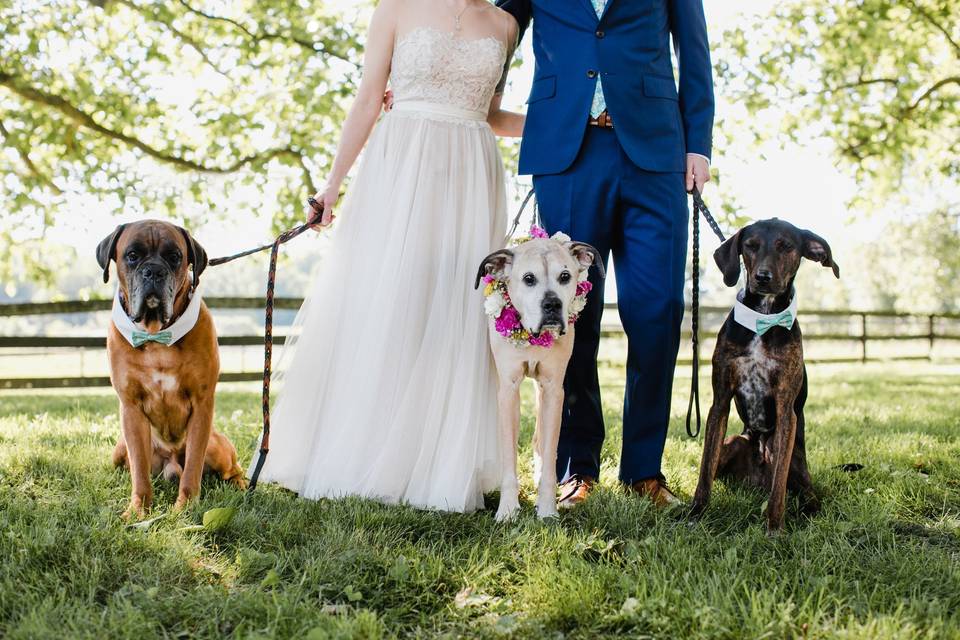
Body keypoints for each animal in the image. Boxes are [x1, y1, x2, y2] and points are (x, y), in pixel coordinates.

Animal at [96, 220, 246, 520]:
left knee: (232, 470)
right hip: (118, 451)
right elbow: (139, 470)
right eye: (132, 255)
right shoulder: (130, 408)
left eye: (175, 256)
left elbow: (193, 467)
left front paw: (185, 507)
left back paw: (241, 484)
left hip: (218, 448)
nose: (154, 270)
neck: (156, 335)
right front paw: (138, 509)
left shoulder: (202, 404)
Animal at [476, 235, 604, 520]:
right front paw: (507, 510)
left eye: (565, 276)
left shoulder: (553, 389)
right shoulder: (509, 390)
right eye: (529, 278)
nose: (553, 305)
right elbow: (509, 455)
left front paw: (547, 510)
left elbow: (550, 449)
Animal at [688, 219, 840, 528]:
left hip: (796, 465)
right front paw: (696, 513)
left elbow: (778, 488)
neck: (763, 318)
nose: (762, 277)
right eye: (750, 245)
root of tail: (755, 482)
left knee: (802, 492)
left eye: (786, 246)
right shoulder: (719, 403)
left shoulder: (785, 410)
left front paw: (774, 527)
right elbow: (705, 469)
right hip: (735, 441)